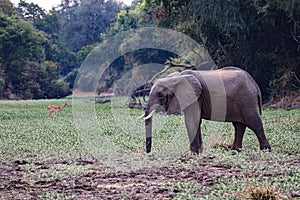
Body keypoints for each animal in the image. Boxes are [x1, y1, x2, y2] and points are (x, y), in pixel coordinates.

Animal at [143, 66, 272, 154]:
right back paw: (235, 151)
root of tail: (255, 84)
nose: (148, 153)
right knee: (239, 125)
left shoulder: (195, 97)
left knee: (254, 123)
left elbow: (192, 121)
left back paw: (265, 151)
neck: (176, 77)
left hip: (247, 100)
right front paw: (199, 153)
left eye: (160, 96)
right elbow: (196, 121)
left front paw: (194, 154)